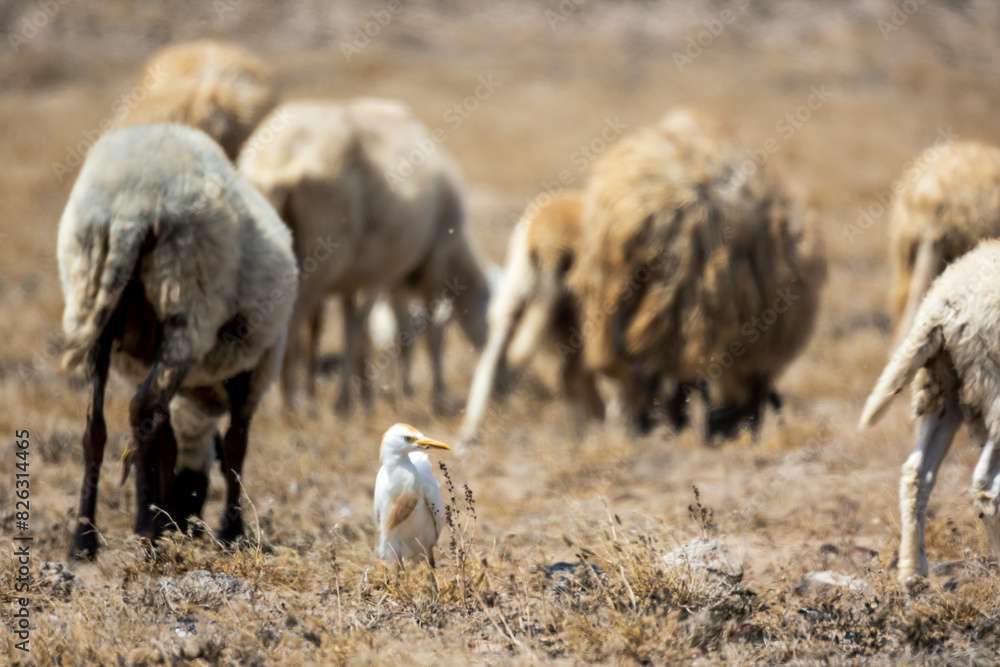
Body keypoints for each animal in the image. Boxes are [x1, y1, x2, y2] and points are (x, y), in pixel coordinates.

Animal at [58, 123, 297, 558]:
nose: (190, 522)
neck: (200, 396)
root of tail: (132, 207)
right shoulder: (255, 370)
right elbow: (235, 447)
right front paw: (230, 531)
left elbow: (164, 438)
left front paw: (160, 515)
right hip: (187, 305)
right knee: (142, 407)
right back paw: (150, 532)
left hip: (94, 298)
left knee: (96, 427)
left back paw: (85, 540)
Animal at [238, 98, 492, 415]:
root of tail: (278, 157)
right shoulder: (434, 259)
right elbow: (431, 334)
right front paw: (437, 396)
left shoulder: (369, 279)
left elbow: (367, 332)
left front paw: (371, 397)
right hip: (319, 253)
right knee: (289, 323)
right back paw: (289, 403)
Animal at [569, 109, 826, 440]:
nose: (727, 436)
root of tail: (646, 211)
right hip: (676, 299)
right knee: (646, 373)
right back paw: (646, 429)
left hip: (617, 298)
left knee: (633, 373)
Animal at [859, 240, 1000, 587]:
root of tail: (945, 304)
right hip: (991, 389)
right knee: (987, 487)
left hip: (941, 388)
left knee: (915, 473)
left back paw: (913, 571)